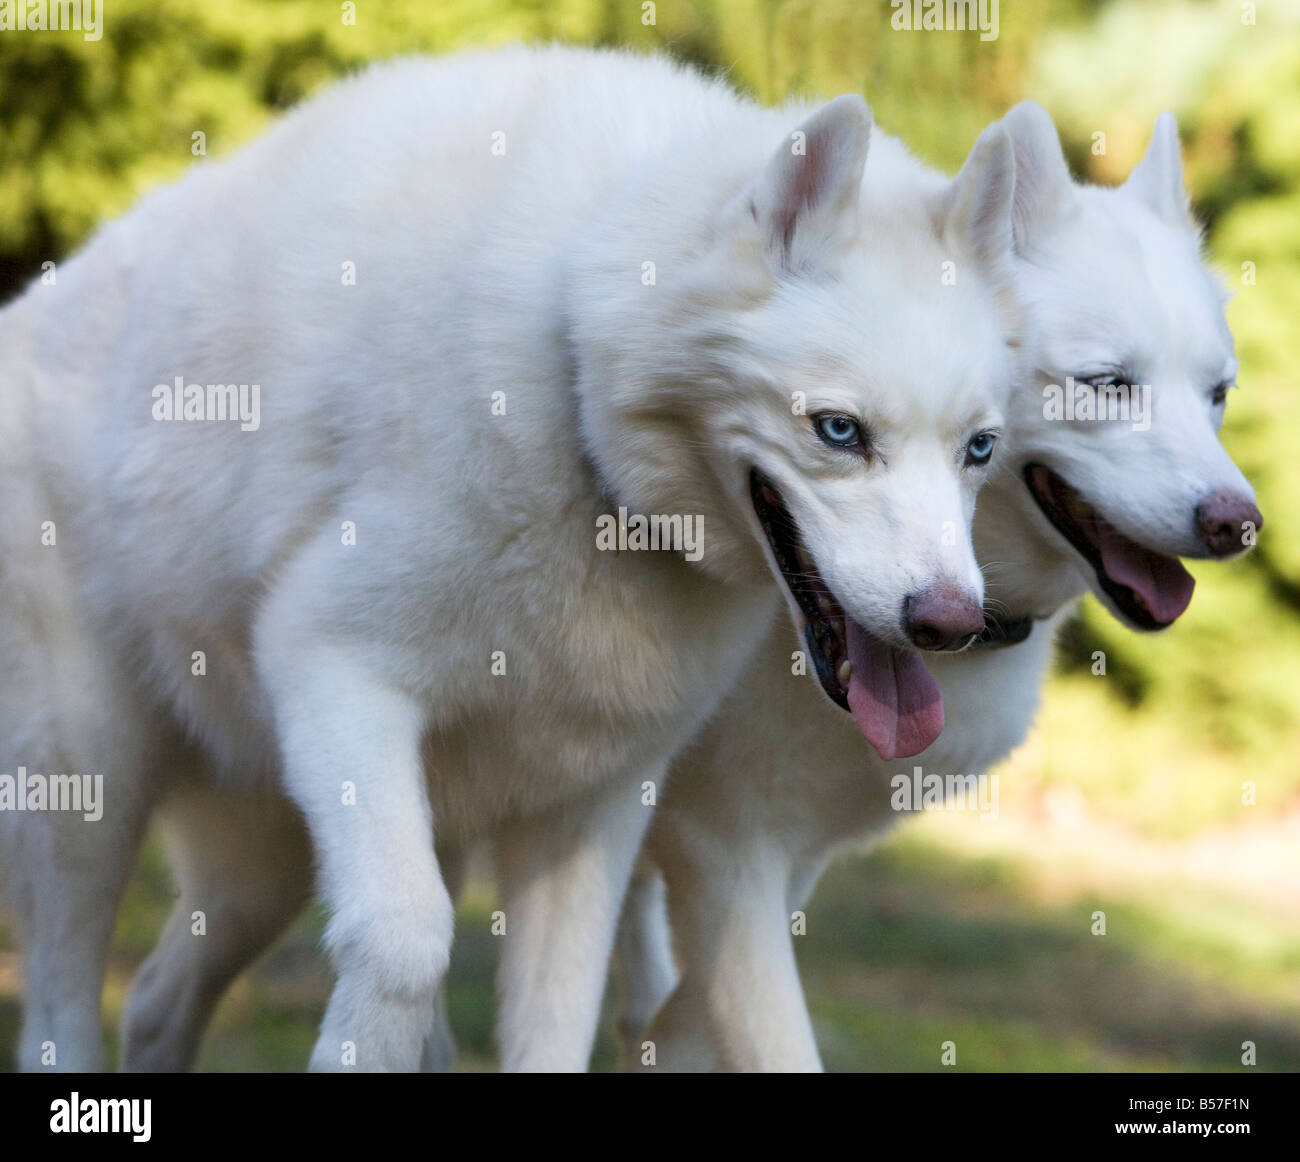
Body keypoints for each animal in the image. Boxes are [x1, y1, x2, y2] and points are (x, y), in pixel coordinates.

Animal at [0, 50, 1024, 1076]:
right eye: (840, 432)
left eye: (979, 449)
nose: (951, 624)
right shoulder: (334, 671)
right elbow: (406, 947)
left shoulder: (590, 810)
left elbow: (557, 1023)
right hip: (92, 791)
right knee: (64, 1011)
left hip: (264, 864)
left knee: (156, 1001)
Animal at [613, 102, 1263, 1071]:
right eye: (1108, 386)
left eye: (1218, 393)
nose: (1238, 523)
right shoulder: (723, 847)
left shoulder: (766, 862)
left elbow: (691, 1016)